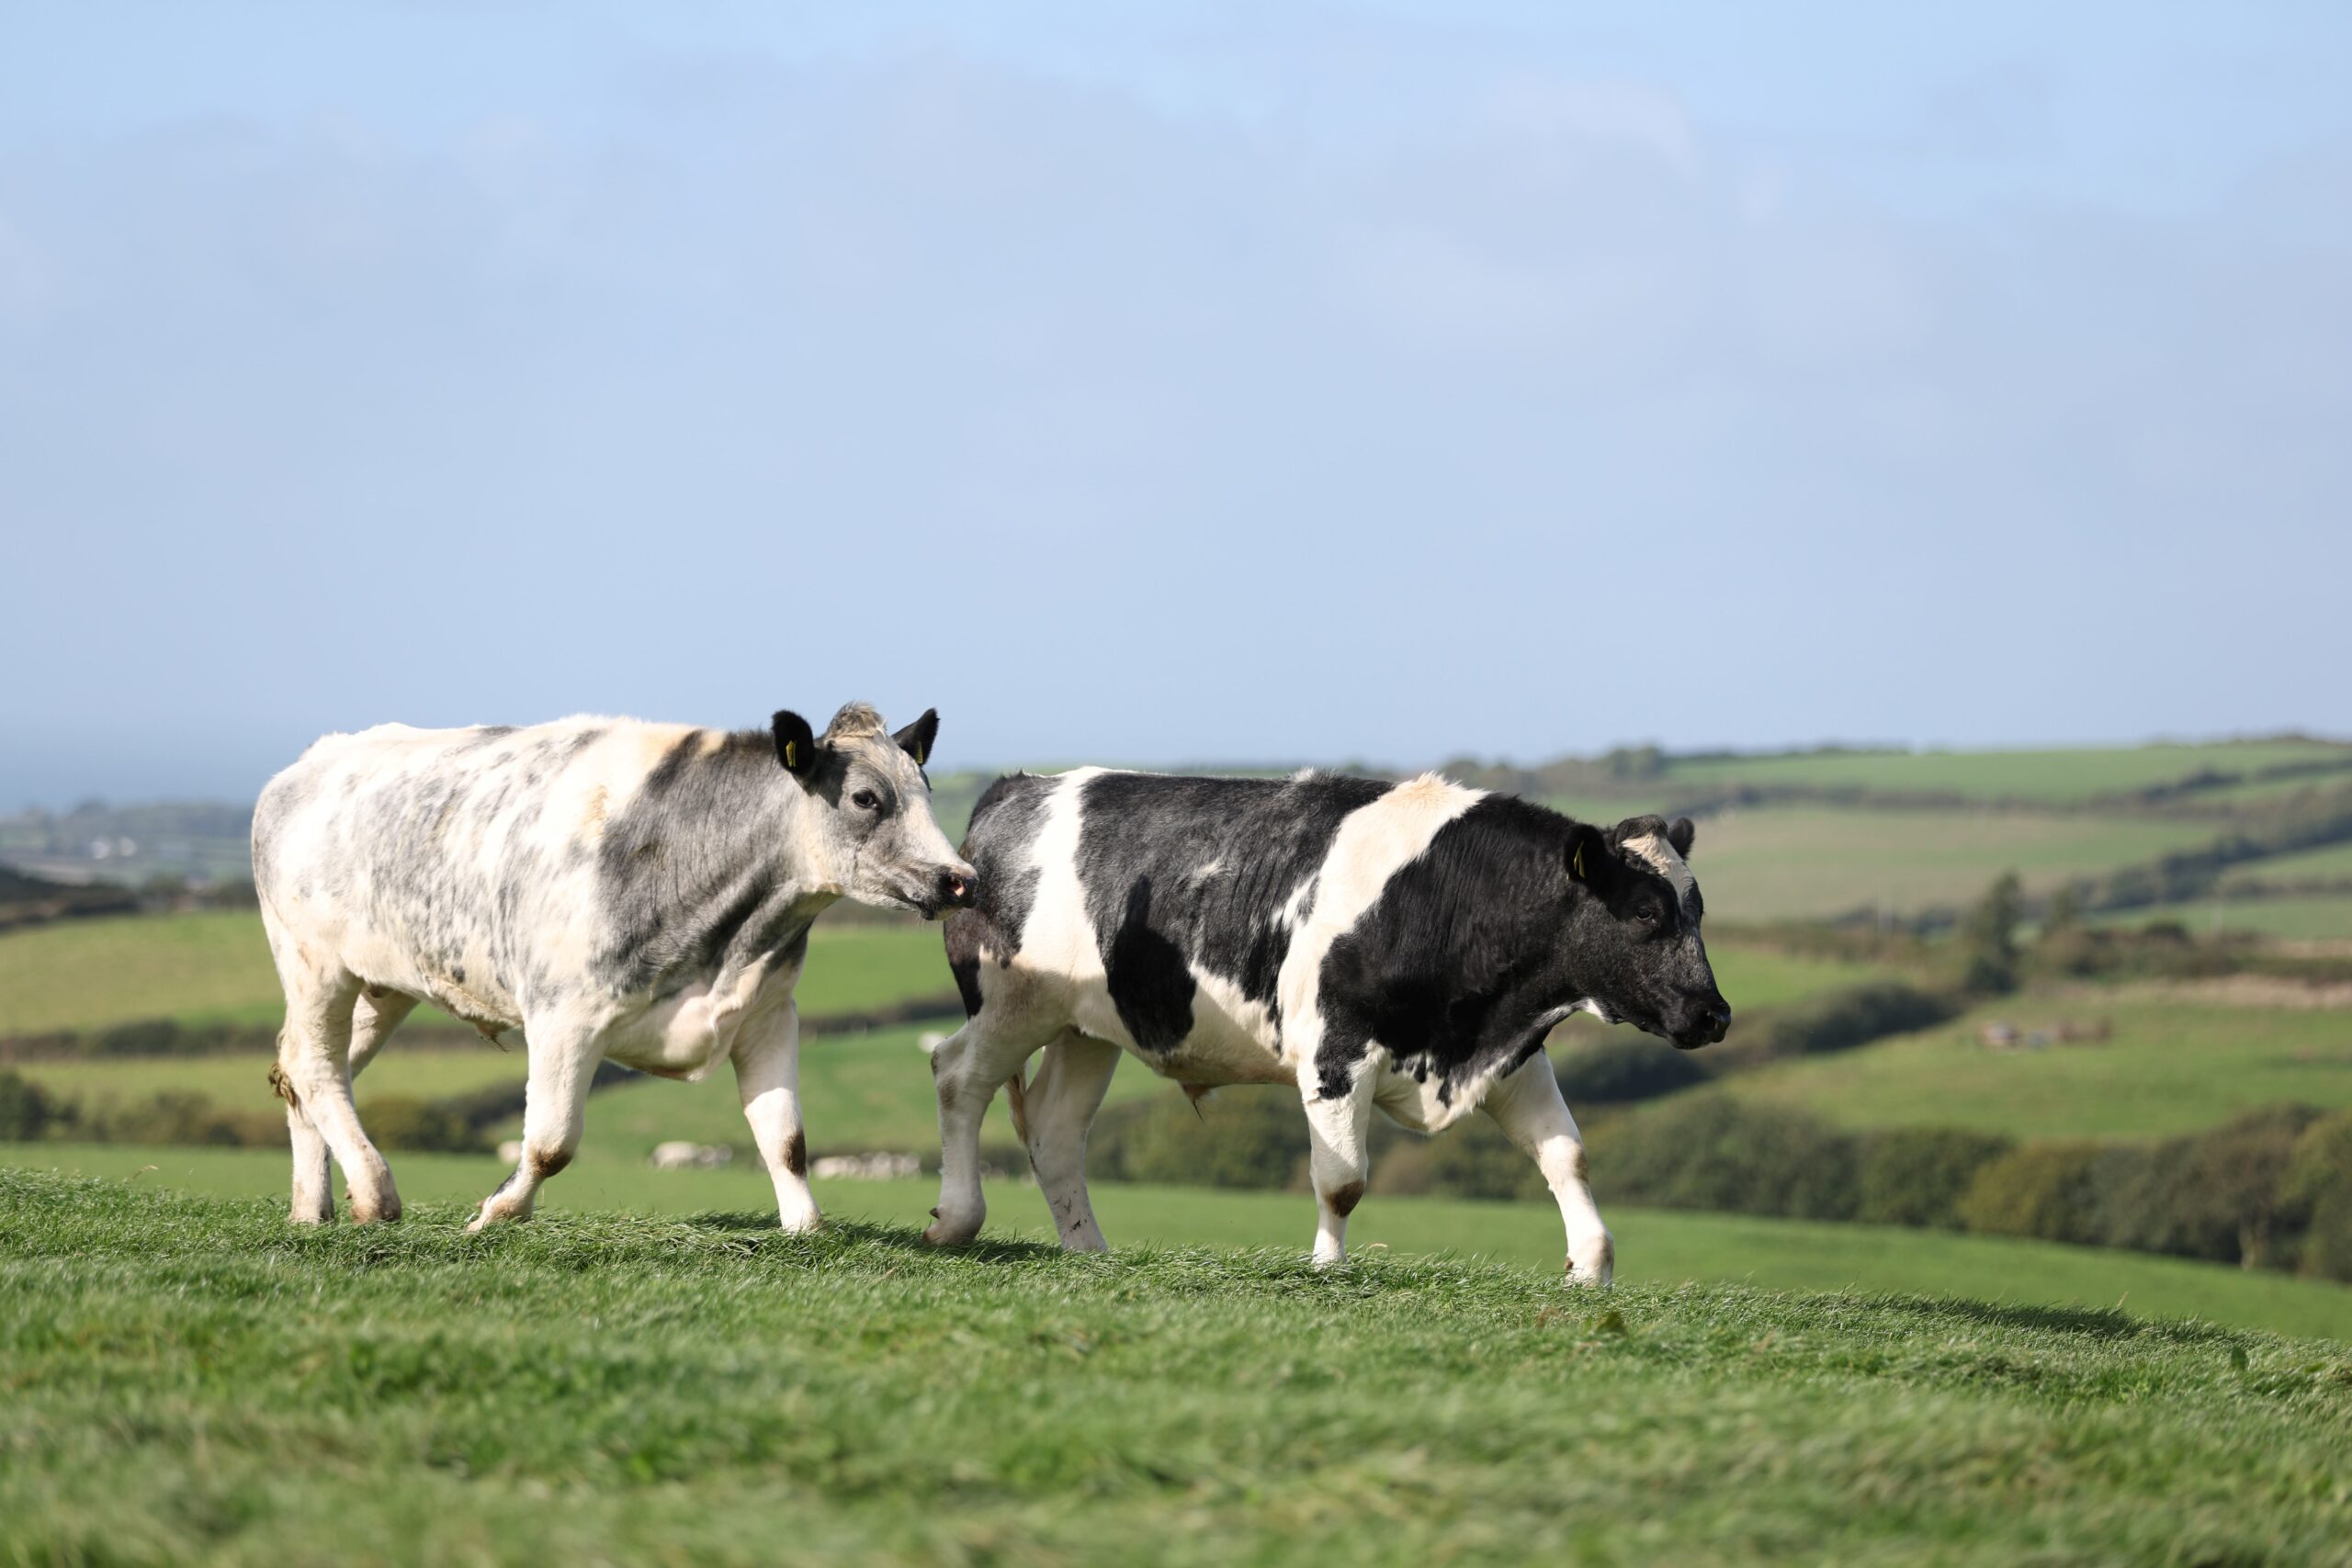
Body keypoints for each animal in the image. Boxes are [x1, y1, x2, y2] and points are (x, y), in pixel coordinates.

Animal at [262, 705, 978, 1232]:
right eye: (866, 798)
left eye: (925, 790)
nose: (961, 879)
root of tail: (305, 765)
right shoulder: (564, 1015)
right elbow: (551, 1141)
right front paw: (498, 1213)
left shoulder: (768, 1013)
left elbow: (786, 1139)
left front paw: (806, 1227)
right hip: (313, 964)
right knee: (314, 1067)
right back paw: (374, 1190)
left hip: (382, 984)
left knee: (305, 1071)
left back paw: (312, 1209)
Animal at [931, 766, 1731, 1279]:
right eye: (1646, 912)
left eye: (1698, 909)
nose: (1714, 1013)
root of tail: (1019, 787)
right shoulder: (1336, 1051)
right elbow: (1342, 1179)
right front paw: (1328, 1267)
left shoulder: (1513, 1053)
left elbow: (1568, 1155)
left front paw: (1591, 1266)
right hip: (1013, 1003)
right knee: (957, 1075)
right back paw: (957, 1218)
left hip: (1087, 1028)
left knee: (1055, 1130)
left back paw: (1087, 1247)